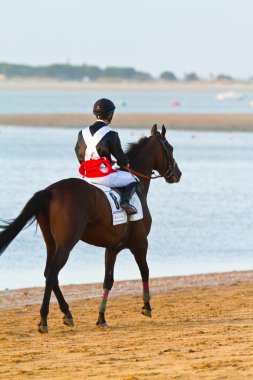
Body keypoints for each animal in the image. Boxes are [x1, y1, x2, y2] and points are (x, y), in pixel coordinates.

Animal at [0, 124, 182, 332]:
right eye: (170, 148)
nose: (178, 174)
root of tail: (50, 190)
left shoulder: (112, 248)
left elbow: (108, 281)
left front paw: (101, 317)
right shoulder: (140, 243)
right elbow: (145, 270)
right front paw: (147, 306)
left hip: (51, 243)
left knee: (49, 273)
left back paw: (67, 314)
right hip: (66, 243)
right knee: (52, 273)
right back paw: (44, 319)